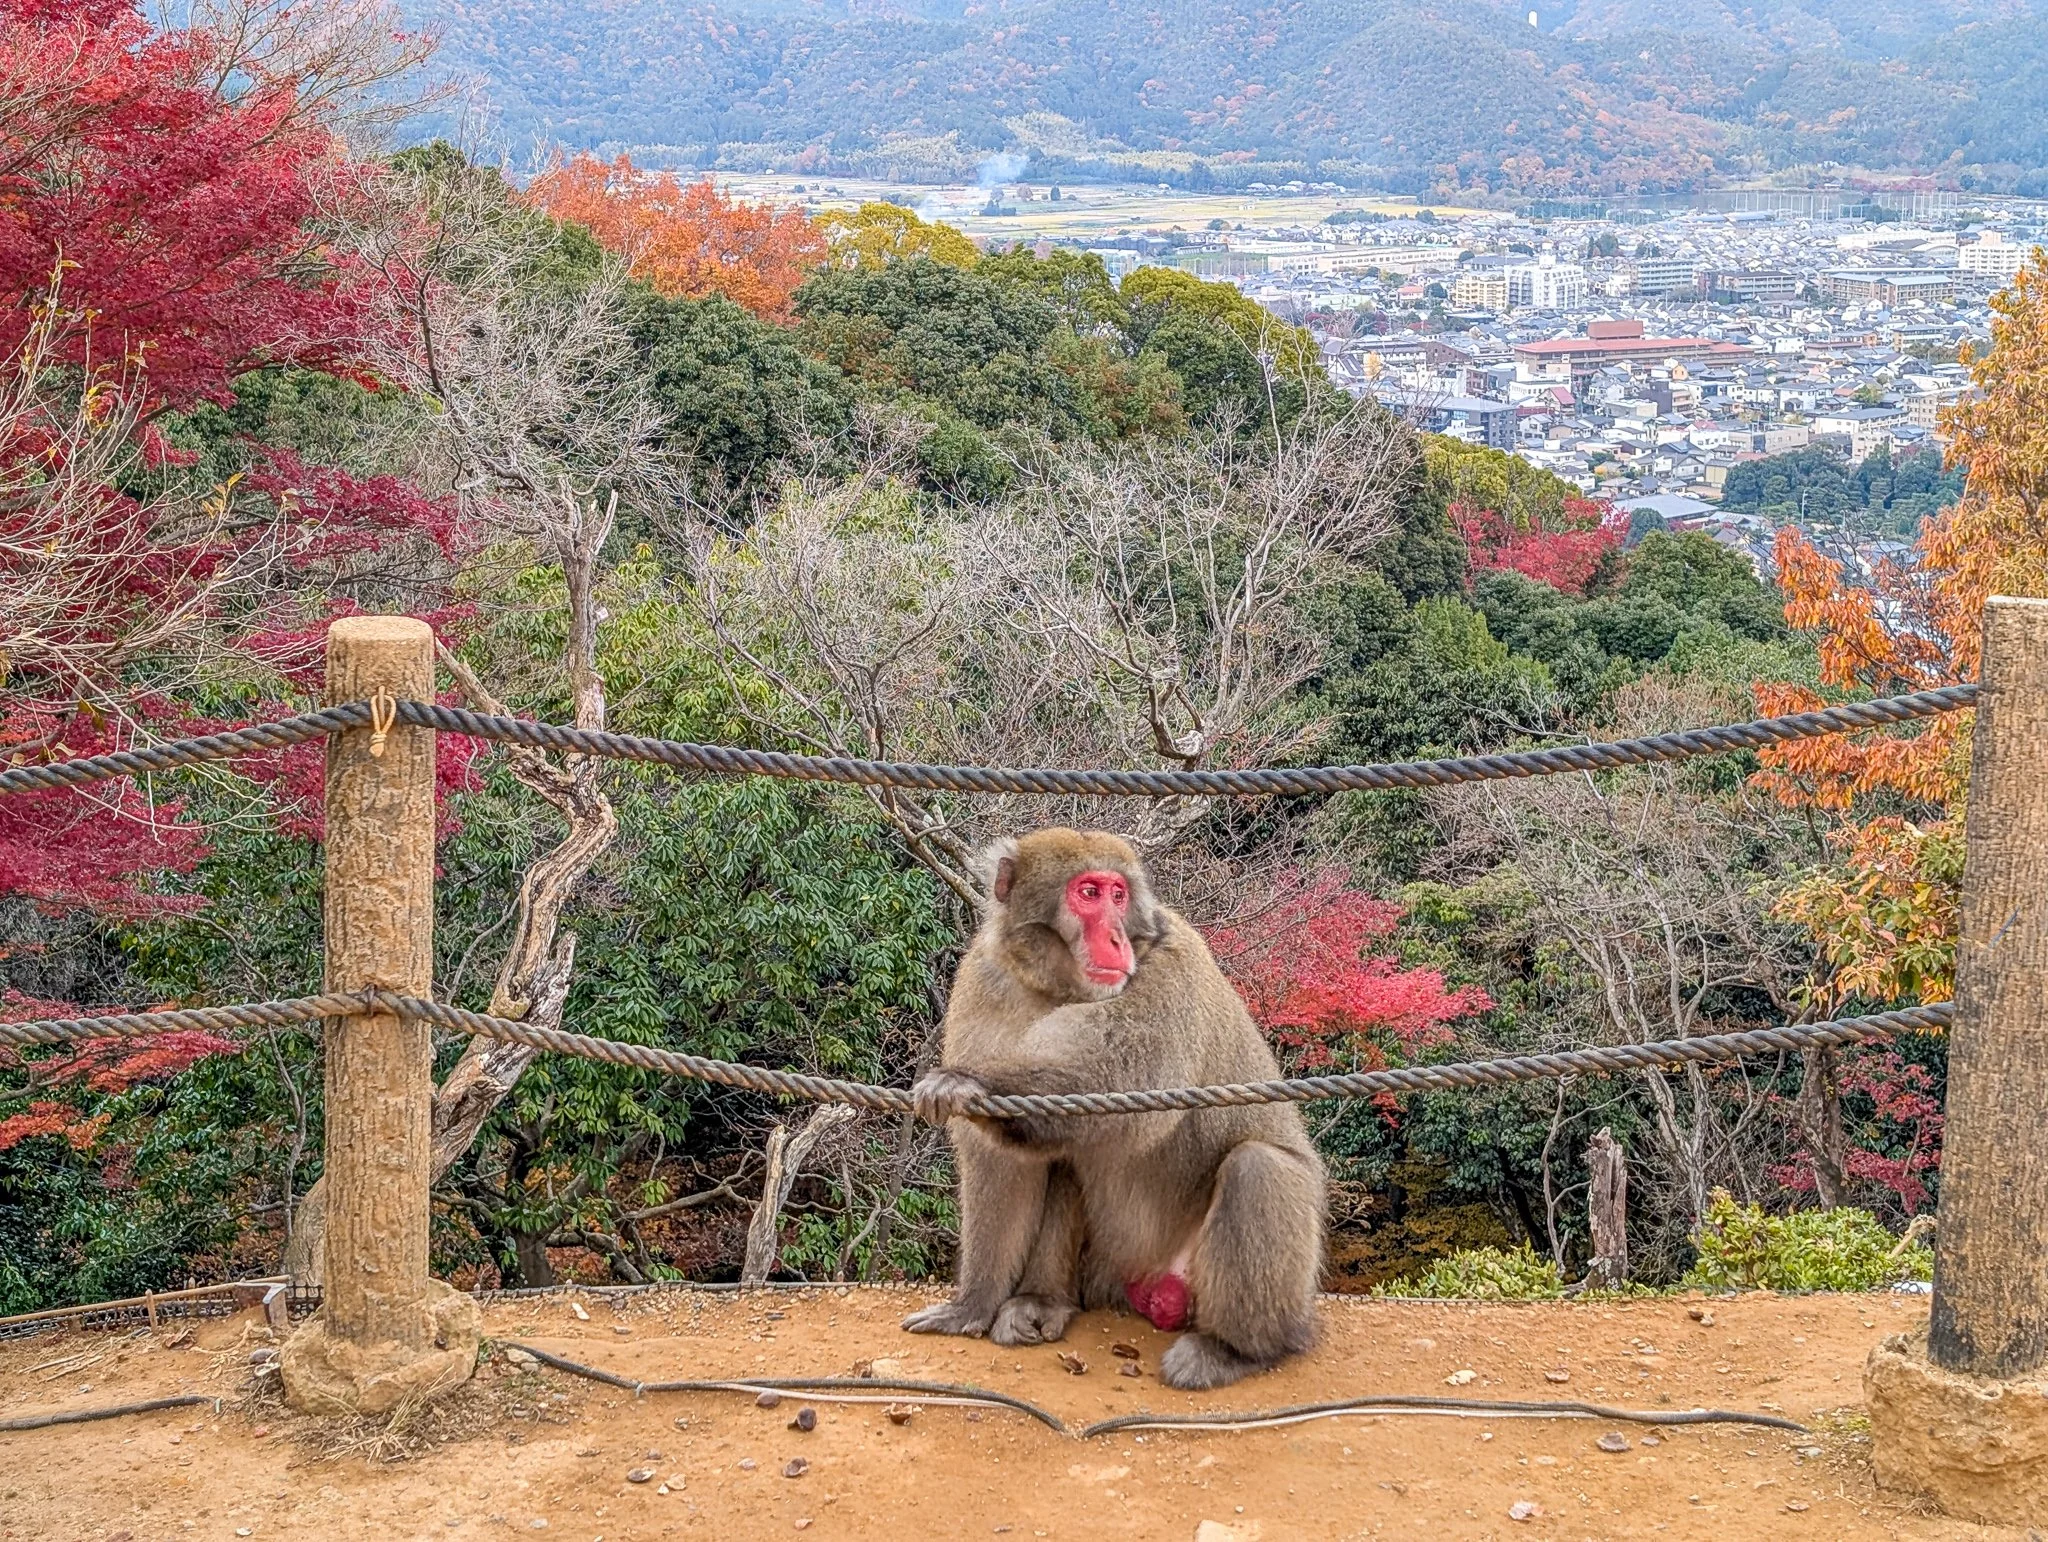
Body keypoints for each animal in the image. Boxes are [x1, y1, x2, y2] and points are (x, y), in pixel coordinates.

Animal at [901, 828, 1326, 1390]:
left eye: (1119, 895)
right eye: (1089, 893)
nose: (1119, 940)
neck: (1059, 988)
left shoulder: (1176, 961)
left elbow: (1131, 1082)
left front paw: (970, 1080)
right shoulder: (984, 979)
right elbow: (1002, 1162)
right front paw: (971, 1306)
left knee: (1258, 1167)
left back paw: (1235, 1350)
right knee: (1058, 1155)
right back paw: (1042, 1302)